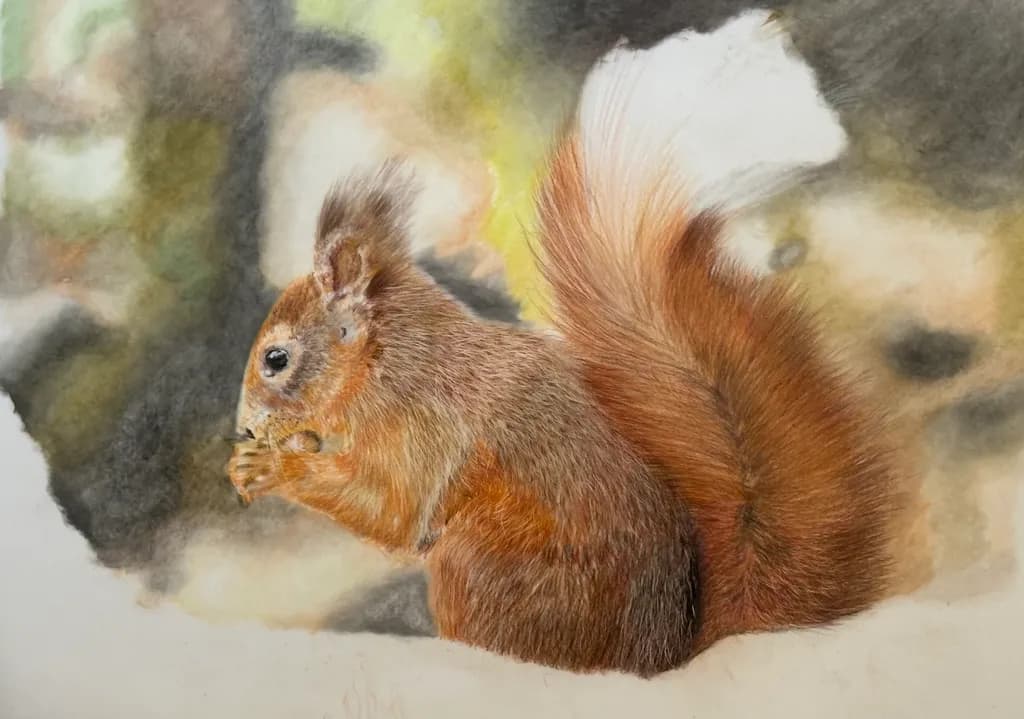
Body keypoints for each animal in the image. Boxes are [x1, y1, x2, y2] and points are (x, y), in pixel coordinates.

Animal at [228, 12, 900, 676]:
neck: (386, 363)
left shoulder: (425, 430)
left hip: (475, 565)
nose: (244, 428)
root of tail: (662, 655)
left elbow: (393, 510)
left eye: (276, 359)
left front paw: (275, 464)